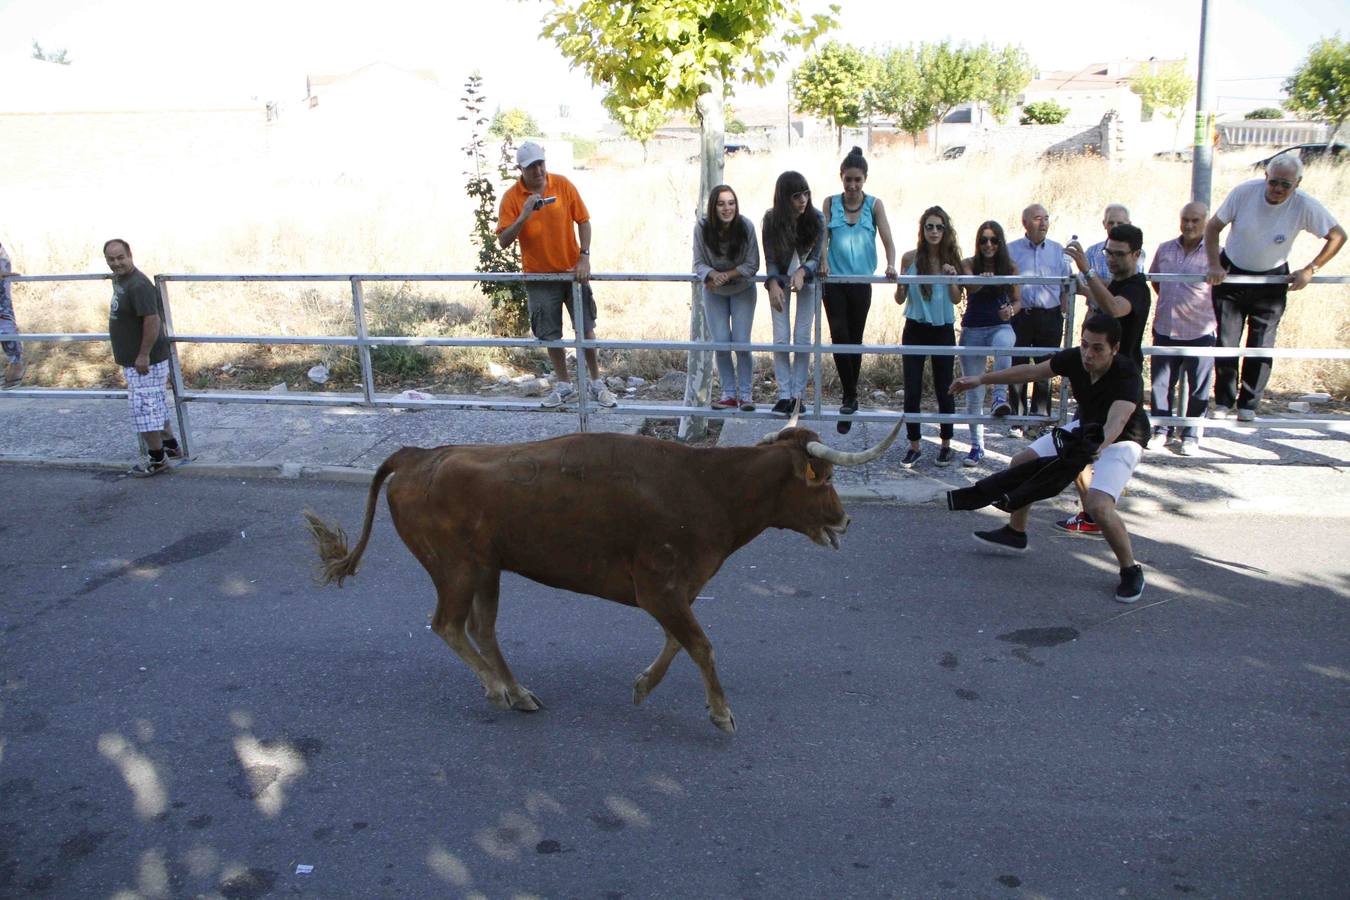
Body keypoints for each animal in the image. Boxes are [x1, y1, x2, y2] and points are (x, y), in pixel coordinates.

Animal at [304, 415, 902, 733]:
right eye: (823, 479)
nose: (845, 519)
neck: (710, 488)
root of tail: (416, 455)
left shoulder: (674, 591)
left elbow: (679, 641)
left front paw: (644, 684)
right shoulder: (659, 587)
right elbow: (701, 645)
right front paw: (721, 713)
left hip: (487, 569)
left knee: (481, 629)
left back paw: (517, 690)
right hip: (456, 569)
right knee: (448, 626)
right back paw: (498, 689)